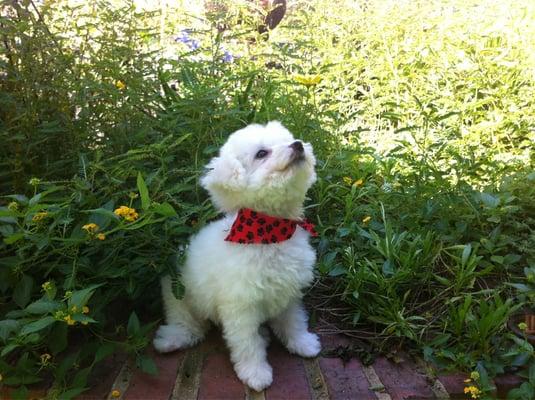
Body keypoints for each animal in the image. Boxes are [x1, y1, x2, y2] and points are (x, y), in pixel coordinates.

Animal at [155, 121, 322, 390]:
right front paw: (256, 373)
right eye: (261, 154)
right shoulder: (240, 306)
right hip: (178, 296)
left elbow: (293, 321)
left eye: (287, 140)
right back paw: (171, 339)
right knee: (188, 324)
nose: (297, 145)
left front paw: (303, 343)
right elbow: (246, 343)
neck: (269, 232)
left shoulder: (289, 293)